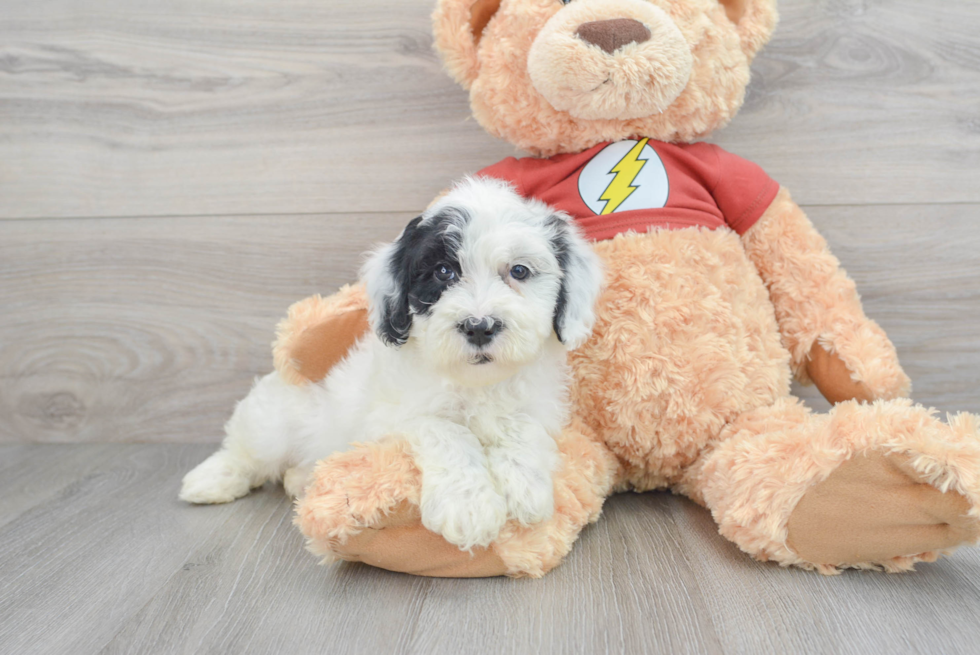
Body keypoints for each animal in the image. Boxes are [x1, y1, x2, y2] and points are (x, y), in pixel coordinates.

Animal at [179, 177, 600, 552]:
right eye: (443, 272)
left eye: (519, 271)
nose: (479, 327)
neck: (474, 382)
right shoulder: (388, 419)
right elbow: (445, 430)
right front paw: (468, 506)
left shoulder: (540, 407)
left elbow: (521, 425)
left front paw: (525, 486)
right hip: (275, 420)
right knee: (247, 450)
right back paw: (211, 480)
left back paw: (301, 478)